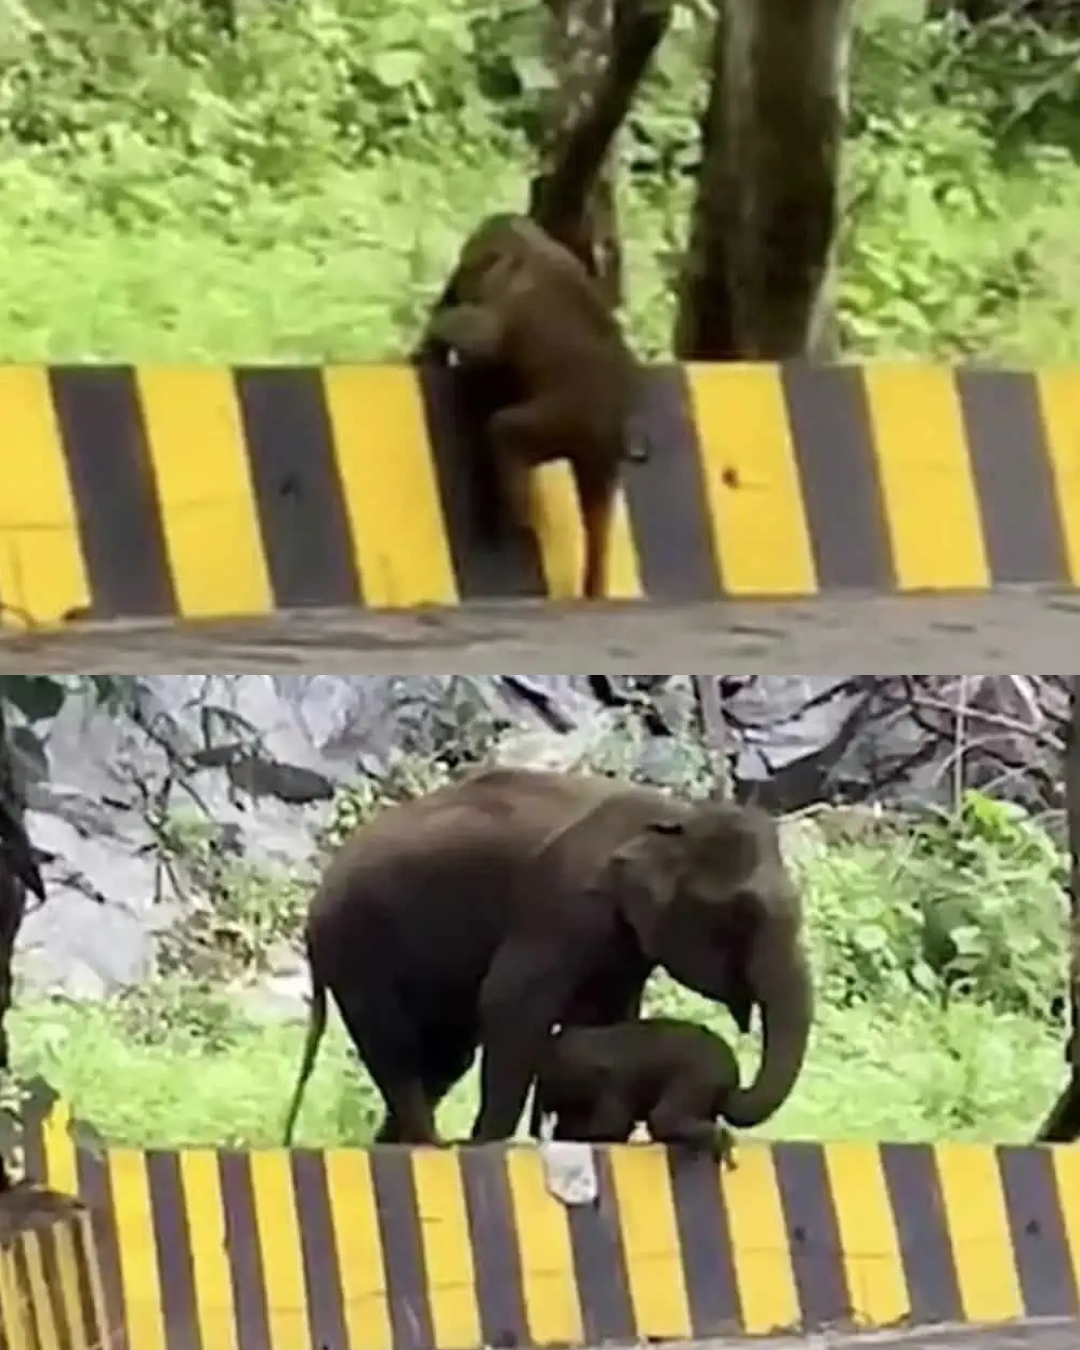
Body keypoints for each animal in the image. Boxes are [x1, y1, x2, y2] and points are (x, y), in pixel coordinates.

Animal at [280, 766, 813, 1146]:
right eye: (743, 914)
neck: (679, 814)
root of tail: (316, 899)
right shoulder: (564, 903)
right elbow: (510, 1001)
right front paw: (490, 1144)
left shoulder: (620, 942)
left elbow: (605, 1015)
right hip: (356, 950)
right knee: (397, 1048)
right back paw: (434, 1146)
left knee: (445, 1057)